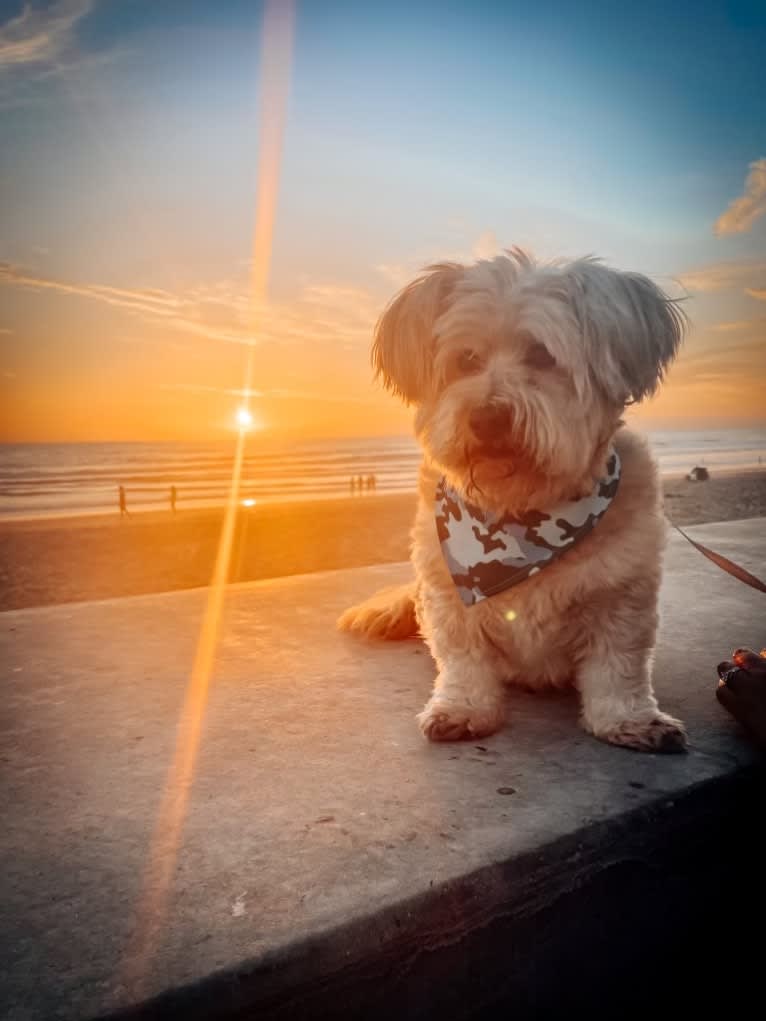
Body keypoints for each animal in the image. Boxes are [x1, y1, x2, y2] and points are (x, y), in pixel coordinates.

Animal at [339, 250, 686, 755]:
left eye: (542, 355)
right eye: (466, 359)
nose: (486, 417)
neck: (519, 510)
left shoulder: (623, 595)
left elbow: (618, 666)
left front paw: (628, 719)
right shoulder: (450, 593)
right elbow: (464, 659)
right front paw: (464, 707)